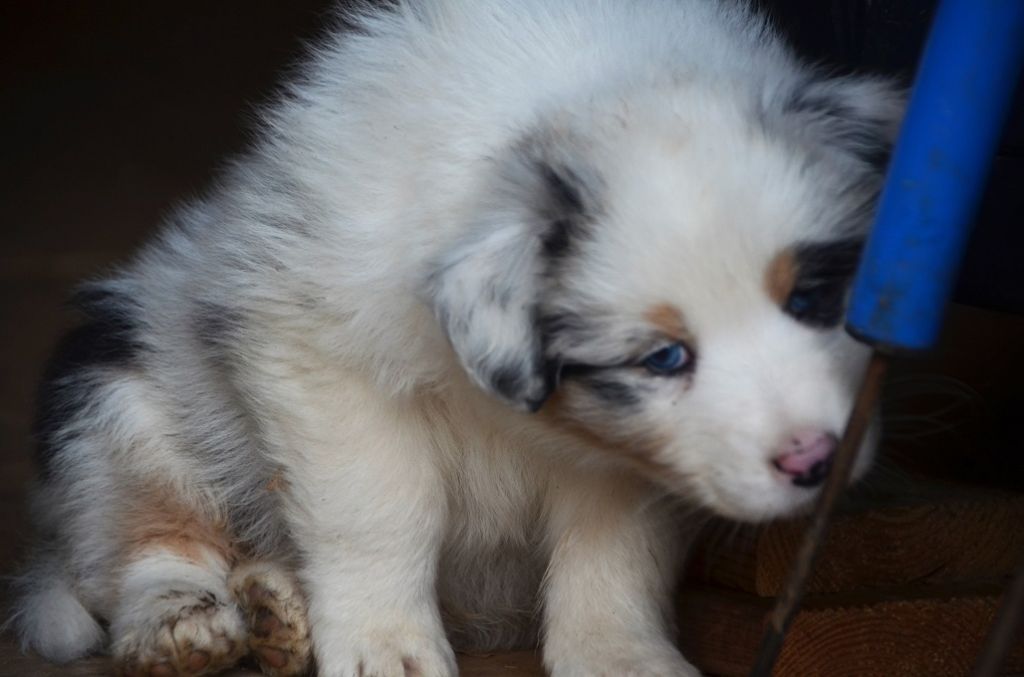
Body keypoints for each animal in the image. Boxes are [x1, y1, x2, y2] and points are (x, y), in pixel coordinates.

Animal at [12, 0, 902, 675]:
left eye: (811, 299)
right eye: (665, 356)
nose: (815, 462)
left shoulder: (629, 451)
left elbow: (615, 545)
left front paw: (621, 656)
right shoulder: (319, 360)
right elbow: (379, 512)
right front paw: (386, 649)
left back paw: (275, 608)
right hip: (119, 401)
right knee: (141, 545)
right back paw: (186, 623)